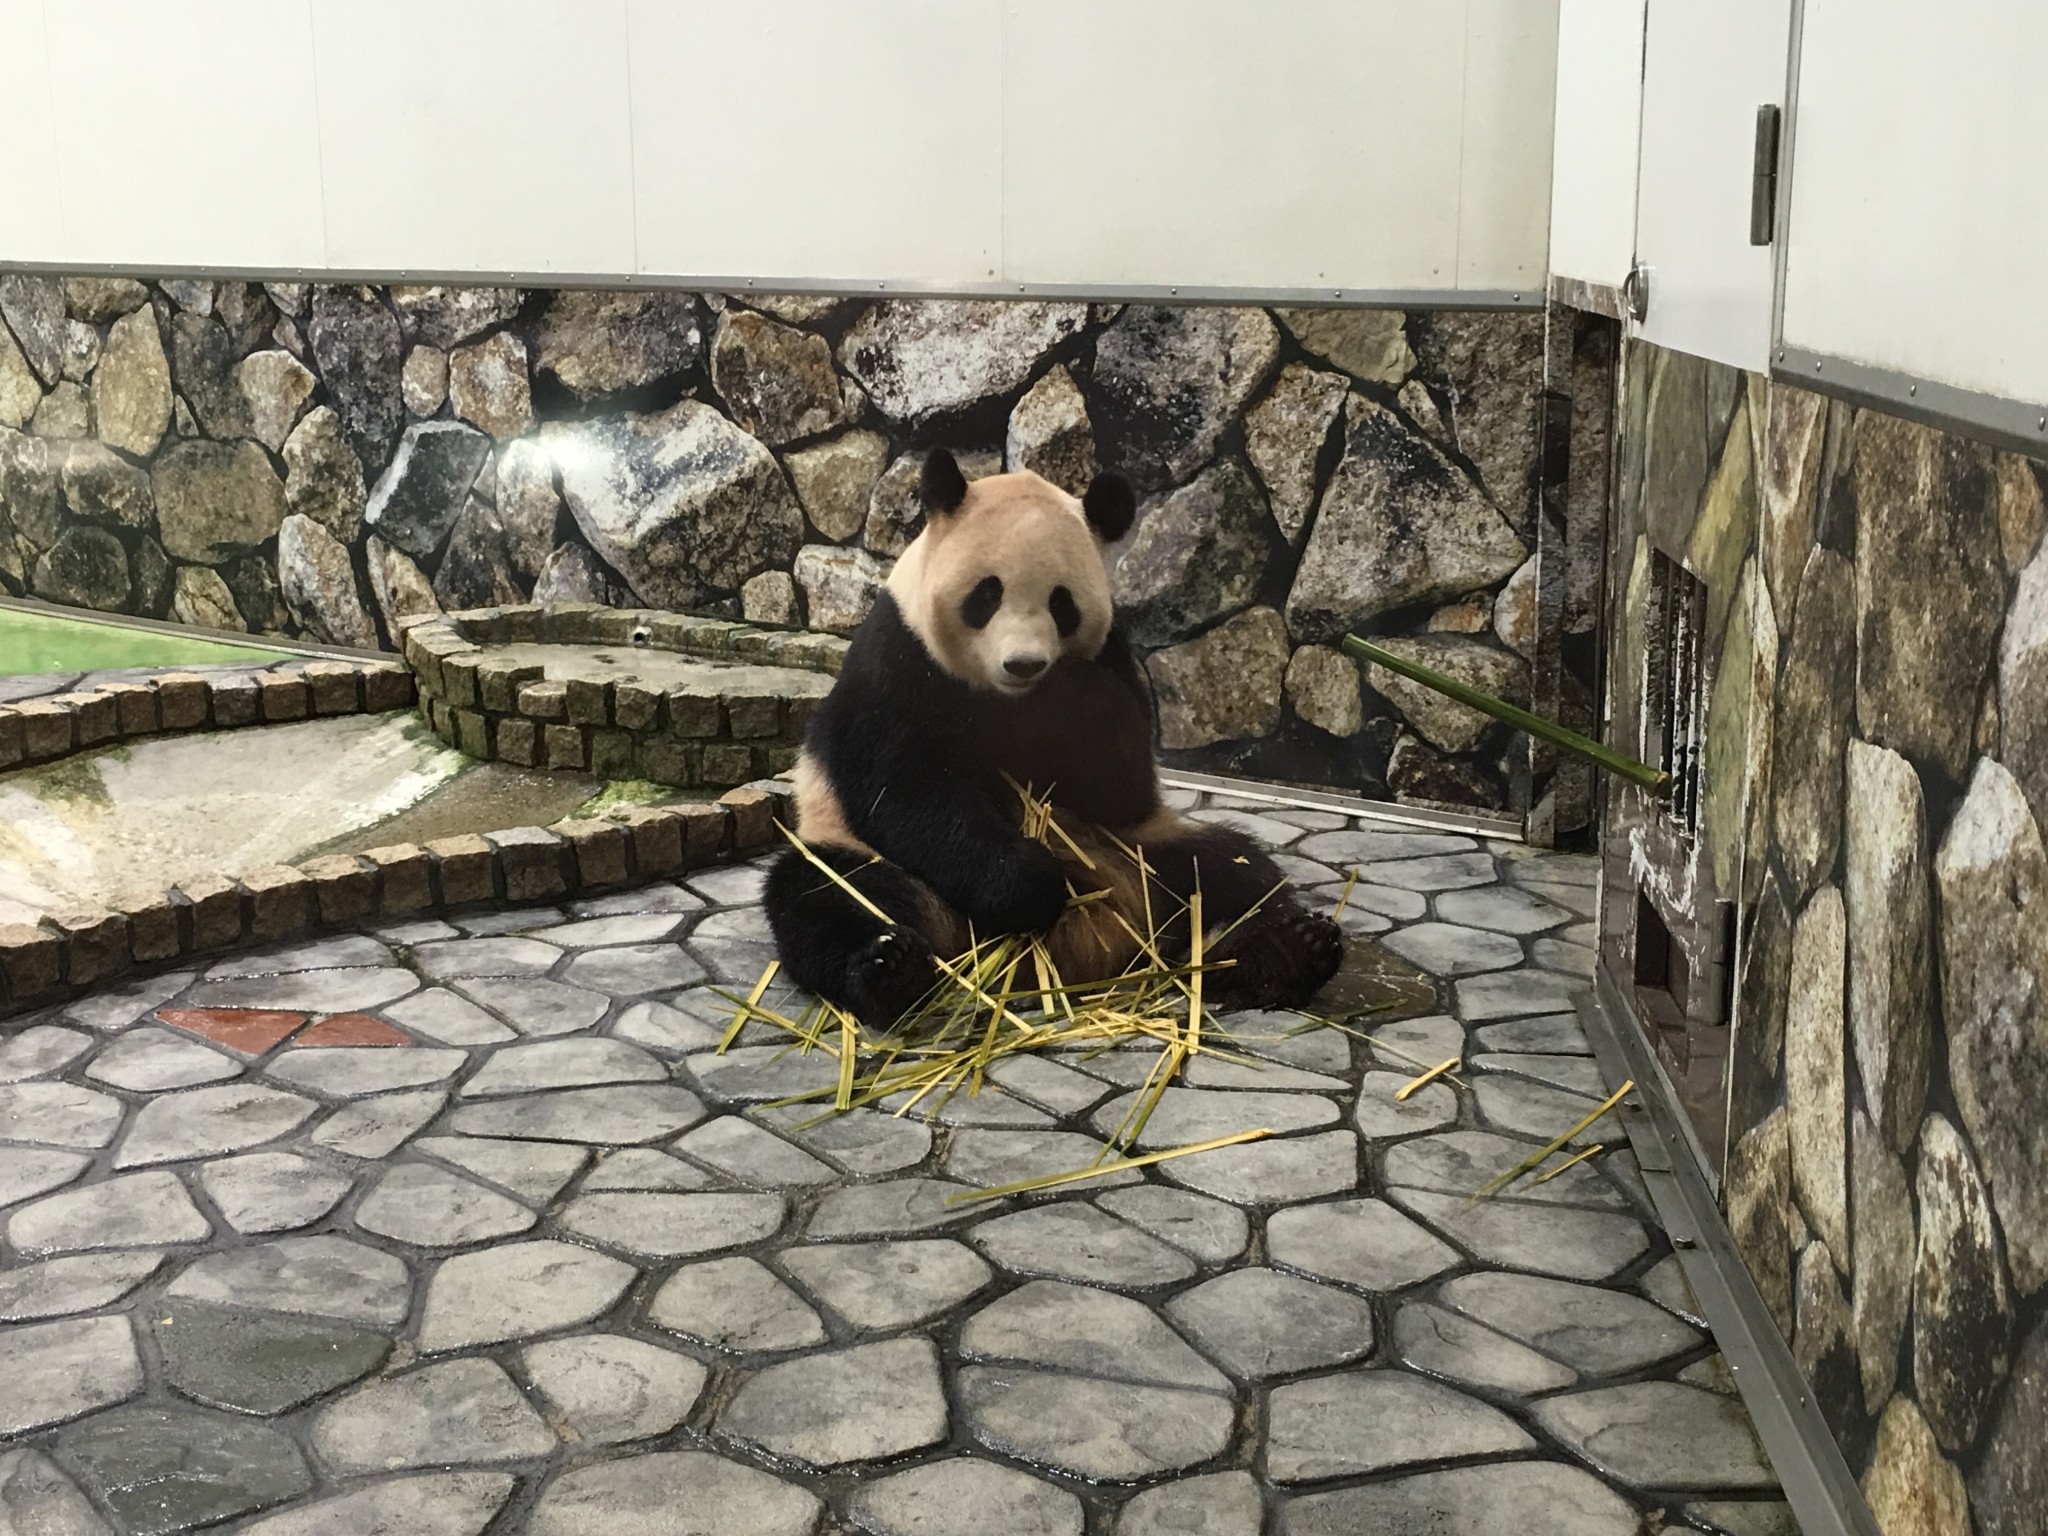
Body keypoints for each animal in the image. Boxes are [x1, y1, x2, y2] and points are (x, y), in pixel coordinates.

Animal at [763, 447, 1345, 1027]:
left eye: (1061, 603)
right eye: (987, 594)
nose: (1024, 664)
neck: (1008, 700)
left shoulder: (1112, 657)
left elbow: (1122, 781)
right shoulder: (897, 660)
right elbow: (904, 791)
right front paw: (1027, 884)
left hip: (1141, 849)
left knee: (1234, 872)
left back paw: (1285, 951)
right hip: (854, 850)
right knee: (828, 895)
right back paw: (890, 969)